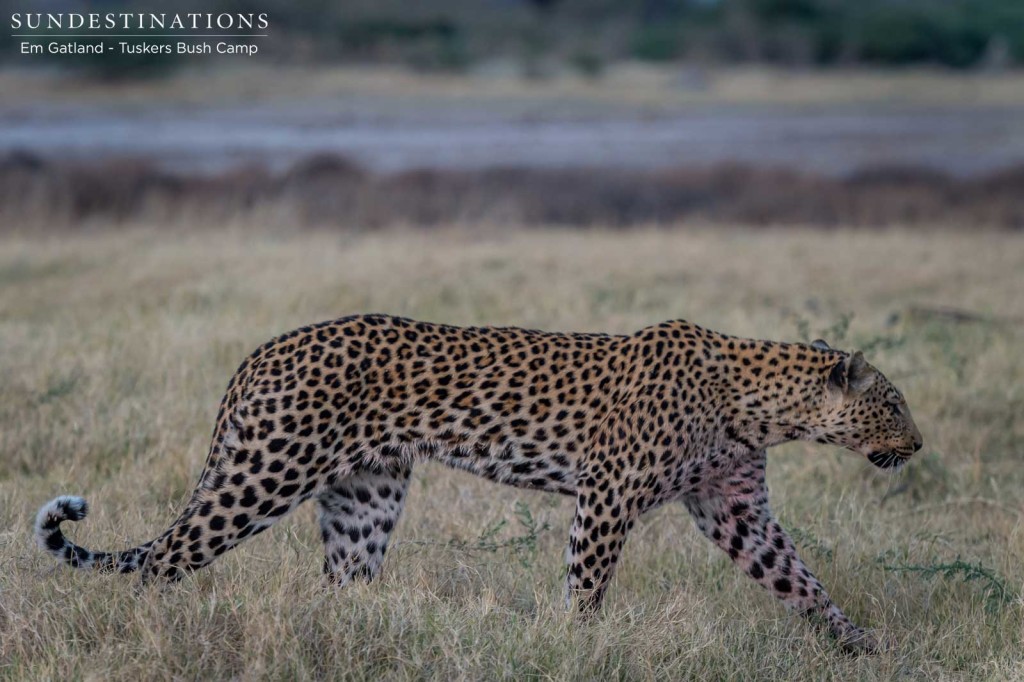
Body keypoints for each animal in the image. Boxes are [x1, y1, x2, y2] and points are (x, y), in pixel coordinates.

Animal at [36, 313, 925, 655]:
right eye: (892, 402)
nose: (918, 444)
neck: (760, 406)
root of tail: (261, 351)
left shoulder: (736, 510)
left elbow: (803, 582)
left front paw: (866, 648)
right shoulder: (606, 494)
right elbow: (586, 586)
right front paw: (577, 648)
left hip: (366, 495)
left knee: (341, 584)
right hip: (265, 470)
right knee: (164, 558)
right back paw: (154, 638)